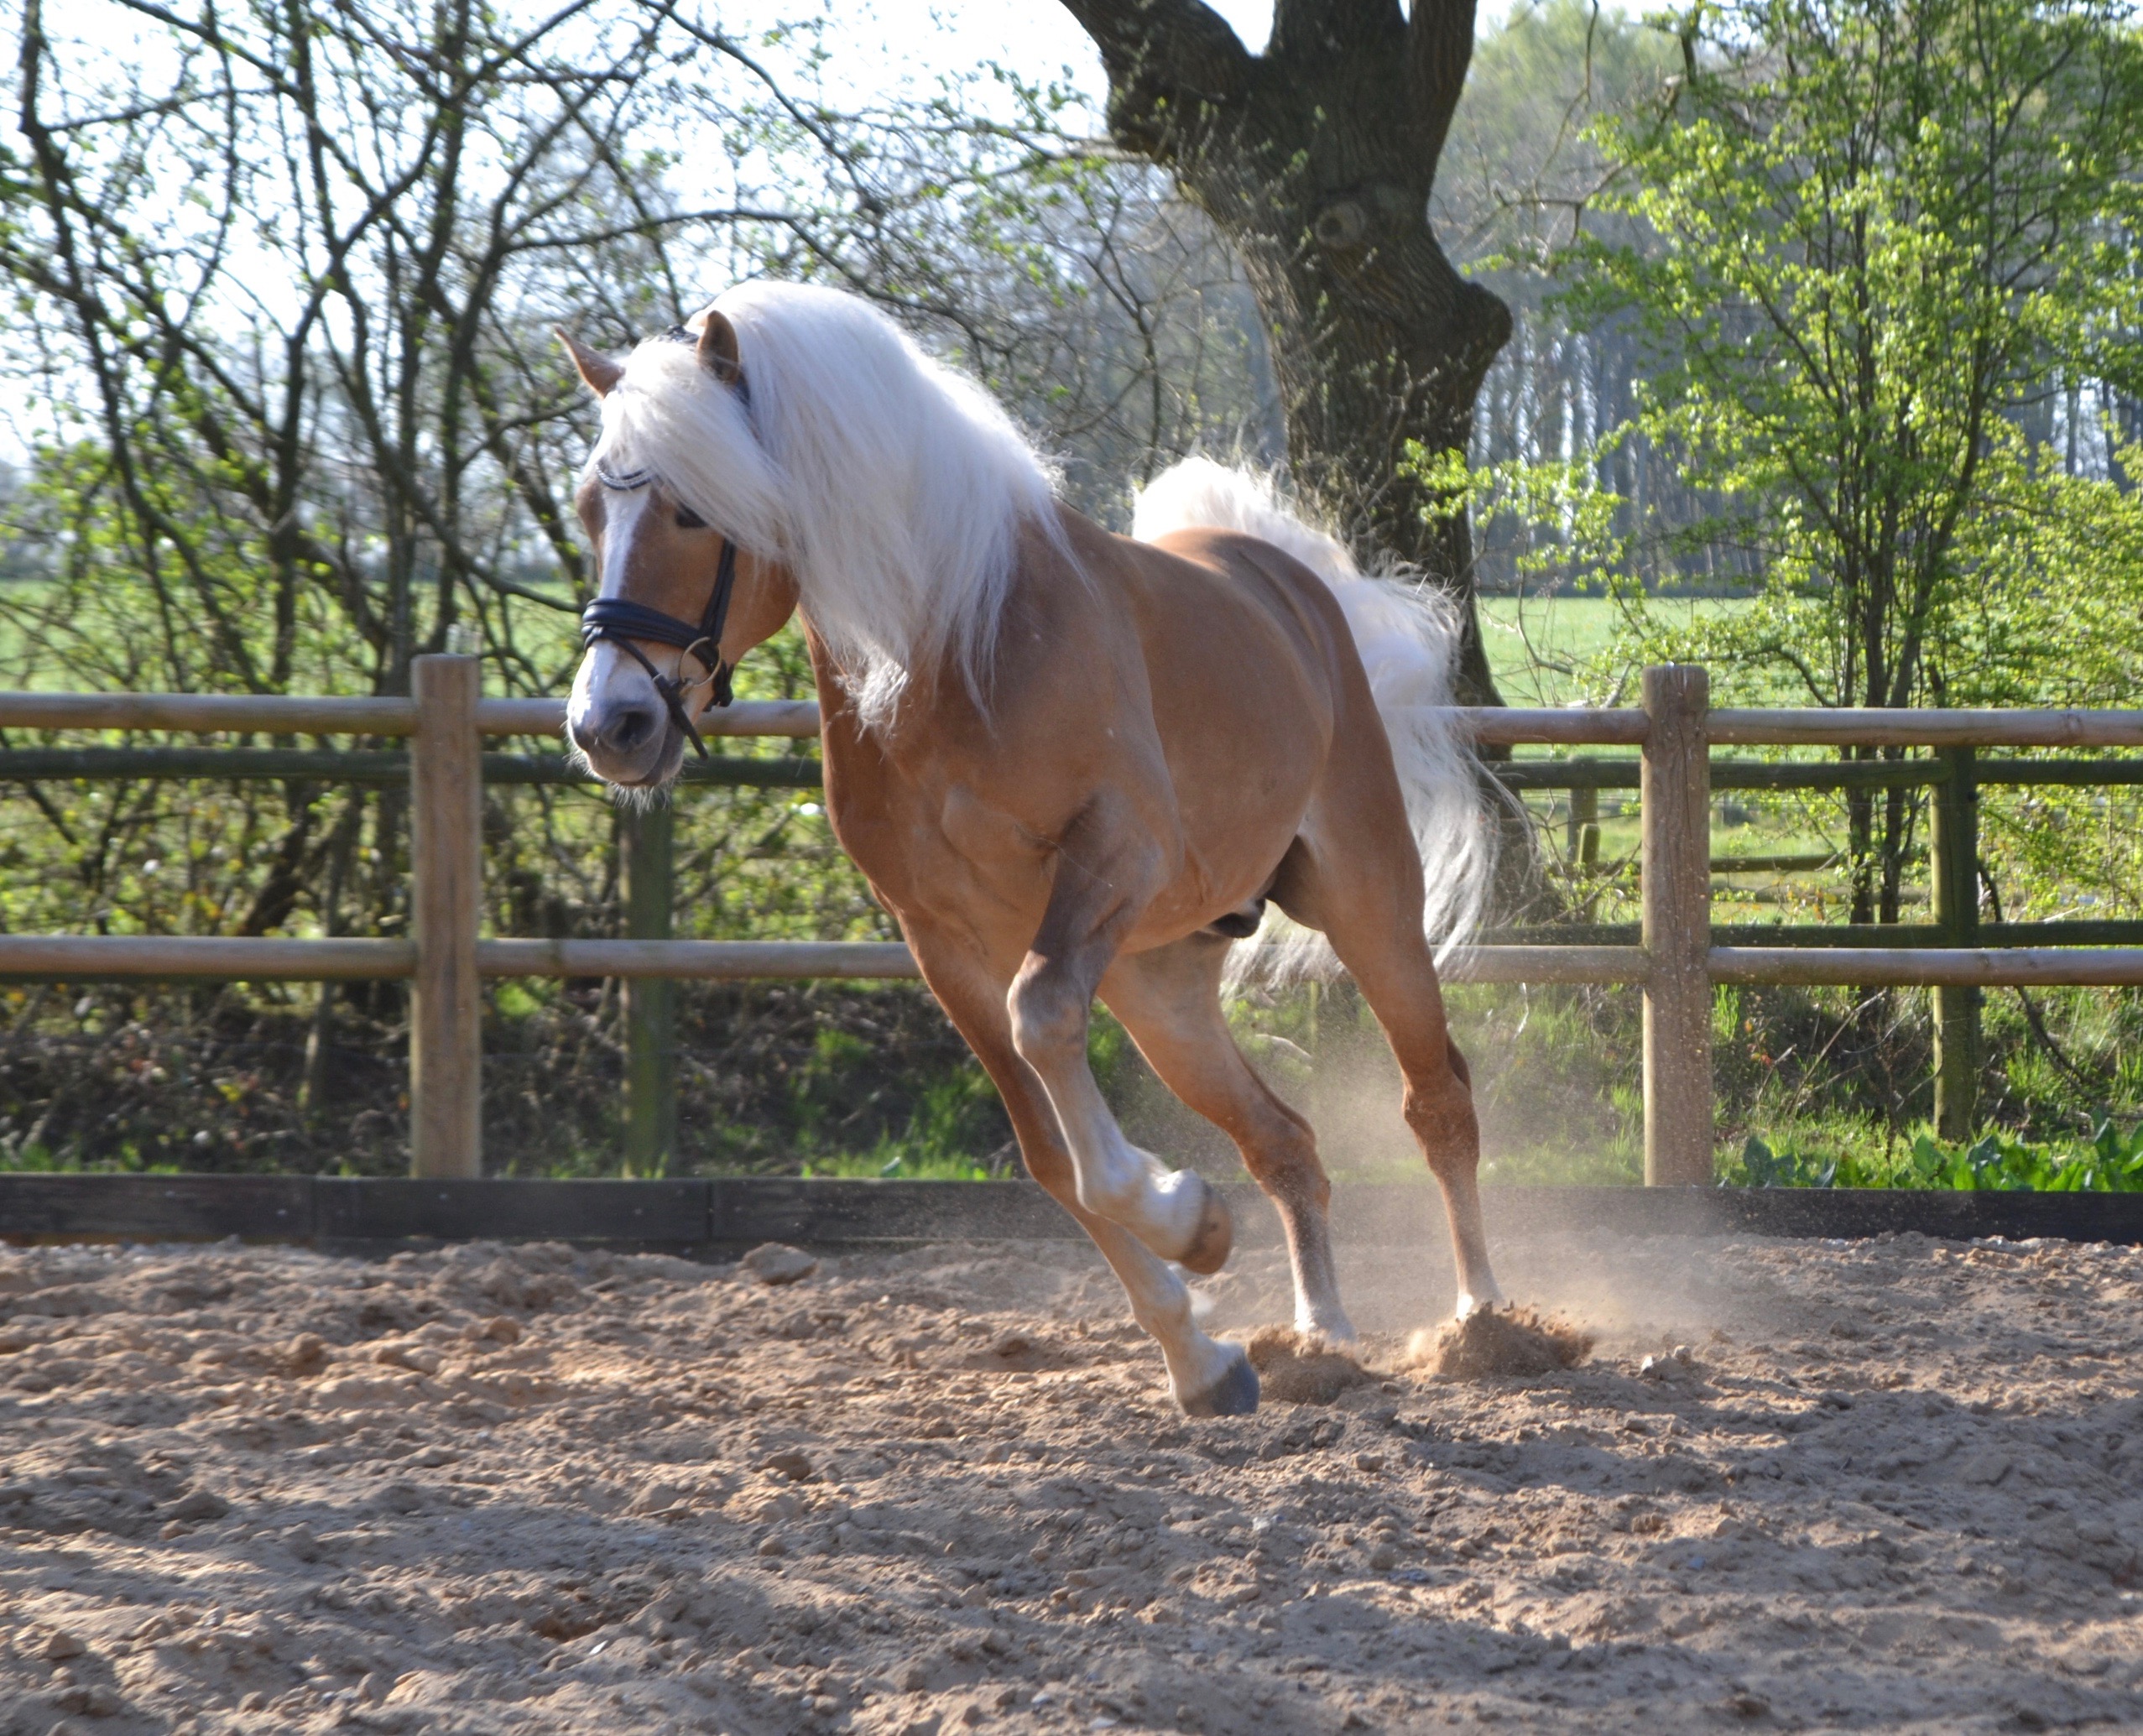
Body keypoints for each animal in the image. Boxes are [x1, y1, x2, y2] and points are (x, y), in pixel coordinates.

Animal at [557, 280, 1503, 1417]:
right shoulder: (942, 940)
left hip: (1365, 904)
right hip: (1159, 985)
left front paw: (1179, 1213)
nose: (608, 726)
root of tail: (1288, 586)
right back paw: (1321, 1335)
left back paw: (1485, 1324)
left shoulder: (1111, 860)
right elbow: (1049, 1150)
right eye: (591, 508)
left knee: (1436, 1098)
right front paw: (1199, 1338)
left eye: (695, 510)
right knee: (1285, 1140)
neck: (948, 653)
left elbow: (1046, 1020)